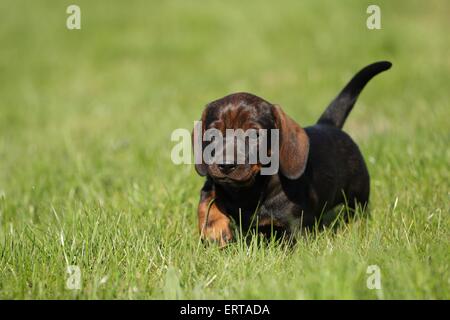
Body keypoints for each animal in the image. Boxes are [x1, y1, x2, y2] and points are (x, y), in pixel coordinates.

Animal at [192, 60, 392, 245]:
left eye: (255, 134)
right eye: (212, 133)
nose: (225, 165)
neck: (249, 190)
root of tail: (328, 124)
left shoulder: (295, 225)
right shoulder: (214, 182)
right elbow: (207, 198)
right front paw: (214, 229)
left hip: (358, 193)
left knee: (357, 212)